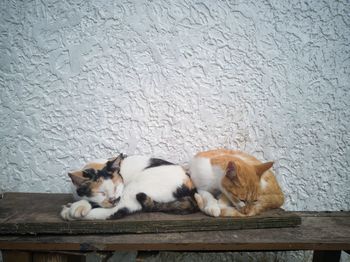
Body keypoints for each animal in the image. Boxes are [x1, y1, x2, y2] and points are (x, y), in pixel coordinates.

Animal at [59, 155, 197, 220]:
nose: (113, 199)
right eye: (101, 193)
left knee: (119, 209)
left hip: (138, 185)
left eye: (116, 188)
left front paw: (75, 207)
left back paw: (68, 213)